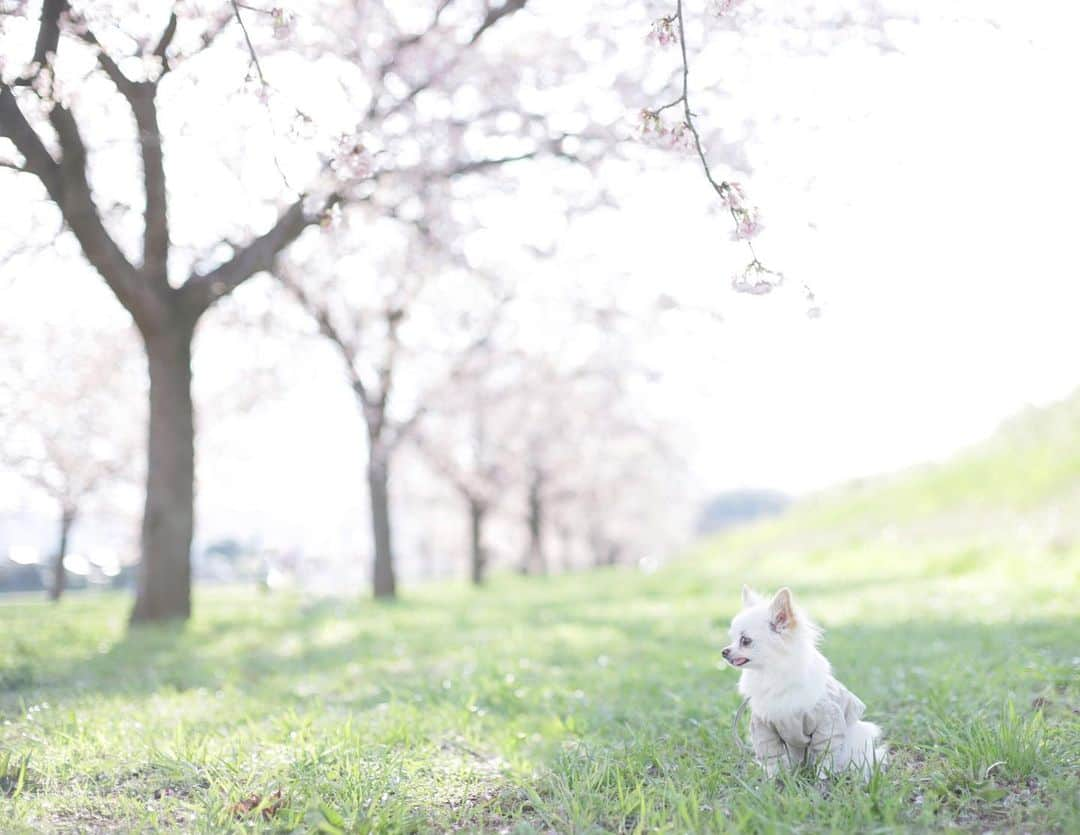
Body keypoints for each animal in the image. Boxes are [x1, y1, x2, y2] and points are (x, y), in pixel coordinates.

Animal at [725, 587, 885, 773]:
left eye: (745, 641)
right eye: (732, 639)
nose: (724, 651)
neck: (771, 674)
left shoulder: (828, 722)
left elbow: (826, 754)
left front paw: (823, 776)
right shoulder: (764, 727)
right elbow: (772, 759)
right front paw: (774, 778)